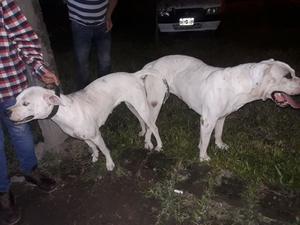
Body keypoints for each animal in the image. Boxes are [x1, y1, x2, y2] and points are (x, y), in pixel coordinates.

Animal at [8, 71, 163, 171]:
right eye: (15, 100)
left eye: (26, 104)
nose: (6, 111)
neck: (65, 113)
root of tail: (133, 75)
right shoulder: (83, 137)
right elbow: (93, 147)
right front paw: (95, 156)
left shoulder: (96, 135)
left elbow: (105, 150)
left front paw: (109, 164)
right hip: (132, 106)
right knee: (142, 121)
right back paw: (143, 132)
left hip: (142, 108)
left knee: (154, 126)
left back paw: (158, 145)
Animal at [137, 55, 300, 161]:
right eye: (287, 76)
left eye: (293, 72)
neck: (241, 84)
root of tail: (152, 63)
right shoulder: (208, 120)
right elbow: (205, 141)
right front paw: (203, 157)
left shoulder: (221, 117)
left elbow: (217, 134)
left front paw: (219, 145)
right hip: (155, 104)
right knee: (150, 124)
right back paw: (149, 144)